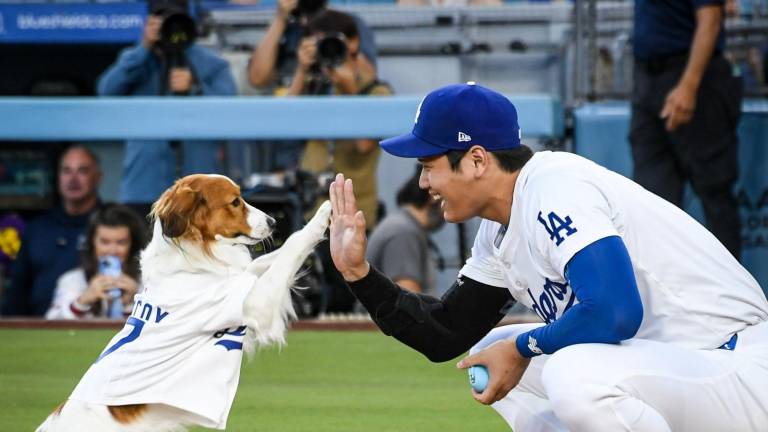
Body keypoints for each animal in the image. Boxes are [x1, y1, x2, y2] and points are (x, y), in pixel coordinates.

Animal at [38, 175, 332, 432]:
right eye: (235, 202)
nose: (273, 222)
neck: (190, 262)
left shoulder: (242, 284)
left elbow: (266, 260)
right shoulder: (255, 302)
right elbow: (292, 246)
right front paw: (323, 214)